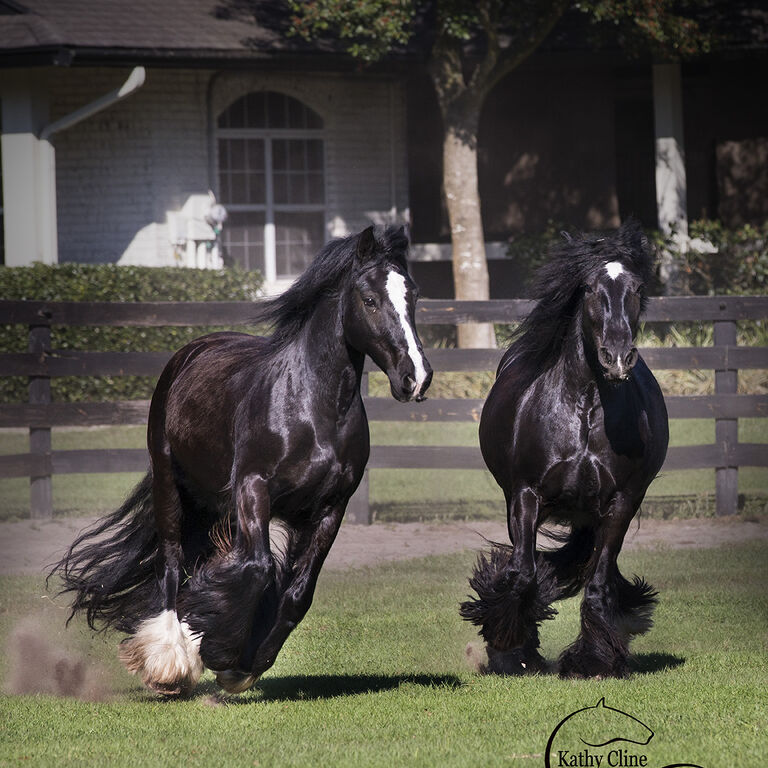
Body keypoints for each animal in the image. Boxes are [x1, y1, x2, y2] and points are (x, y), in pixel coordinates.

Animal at [50, 224, 432, 696]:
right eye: (370, 299)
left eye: (413, 296)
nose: (416, 378)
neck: (311, 410)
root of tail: (193, 350)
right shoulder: (254, 488)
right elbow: (256, 568)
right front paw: (220, 654)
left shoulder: (331, 508)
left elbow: (296, 591)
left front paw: (245, 662)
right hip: (169, 486)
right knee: (171, 566)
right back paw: (169, 662)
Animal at [461, 219, 668, 679]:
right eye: (589, 287)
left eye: (637, 288)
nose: (617, 357)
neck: (585, 409)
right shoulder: (525, 495)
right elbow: (522, 574)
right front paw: (511, 650)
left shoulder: (621, 502)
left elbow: (597, 586)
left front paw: (592, 660)